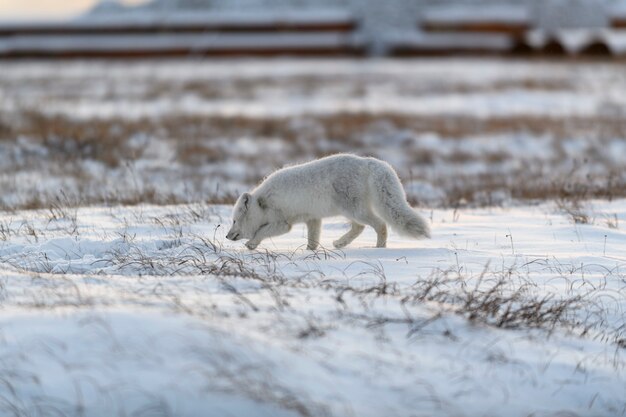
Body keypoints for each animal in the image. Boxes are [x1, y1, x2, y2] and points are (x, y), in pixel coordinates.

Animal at [224, 154, 428, 249]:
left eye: (234, 221)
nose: (226, 236)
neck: (263, 203)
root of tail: (367, 162)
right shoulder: (312, 218)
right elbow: (313, 240)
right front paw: (309, 252)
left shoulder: (283, 223)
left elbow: (262, 231)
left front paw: (251, 244)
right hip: (352, 210)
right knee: (359, 227)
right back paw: (339, 244)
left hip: (353, 209)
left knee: (380, 225)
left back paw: (379, 248)